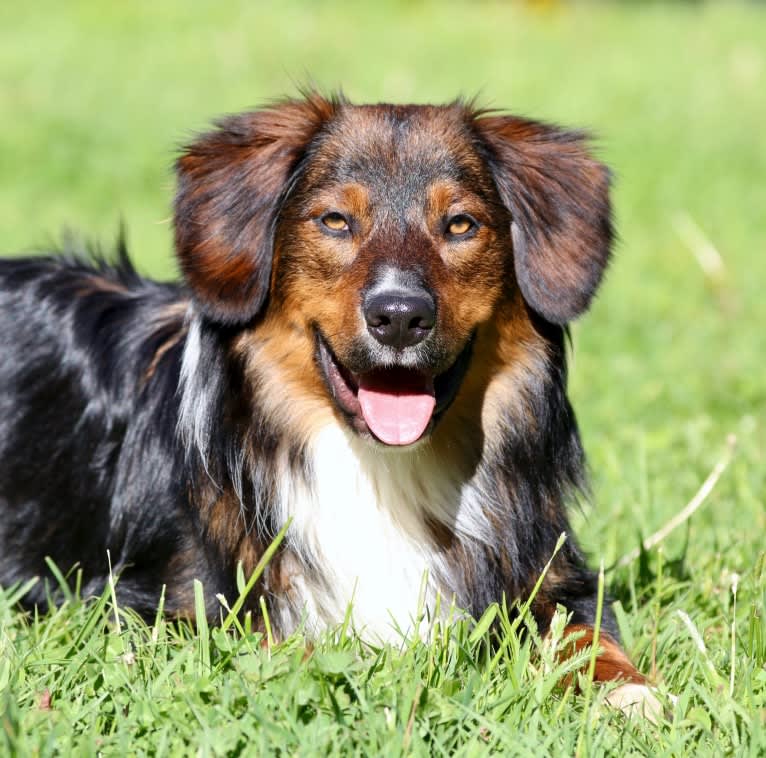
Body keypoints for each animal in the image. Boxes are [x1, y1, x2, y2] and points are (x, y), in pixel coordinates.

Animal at [0, 93, 656, 700]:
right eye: (336, 221)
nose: (399, 317)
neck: (380, 470)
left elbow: (586, 635)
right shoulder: (158, 604)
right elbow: (287, 644)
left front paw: (632, 695)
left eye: (461, 225)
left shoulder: (554, 574)